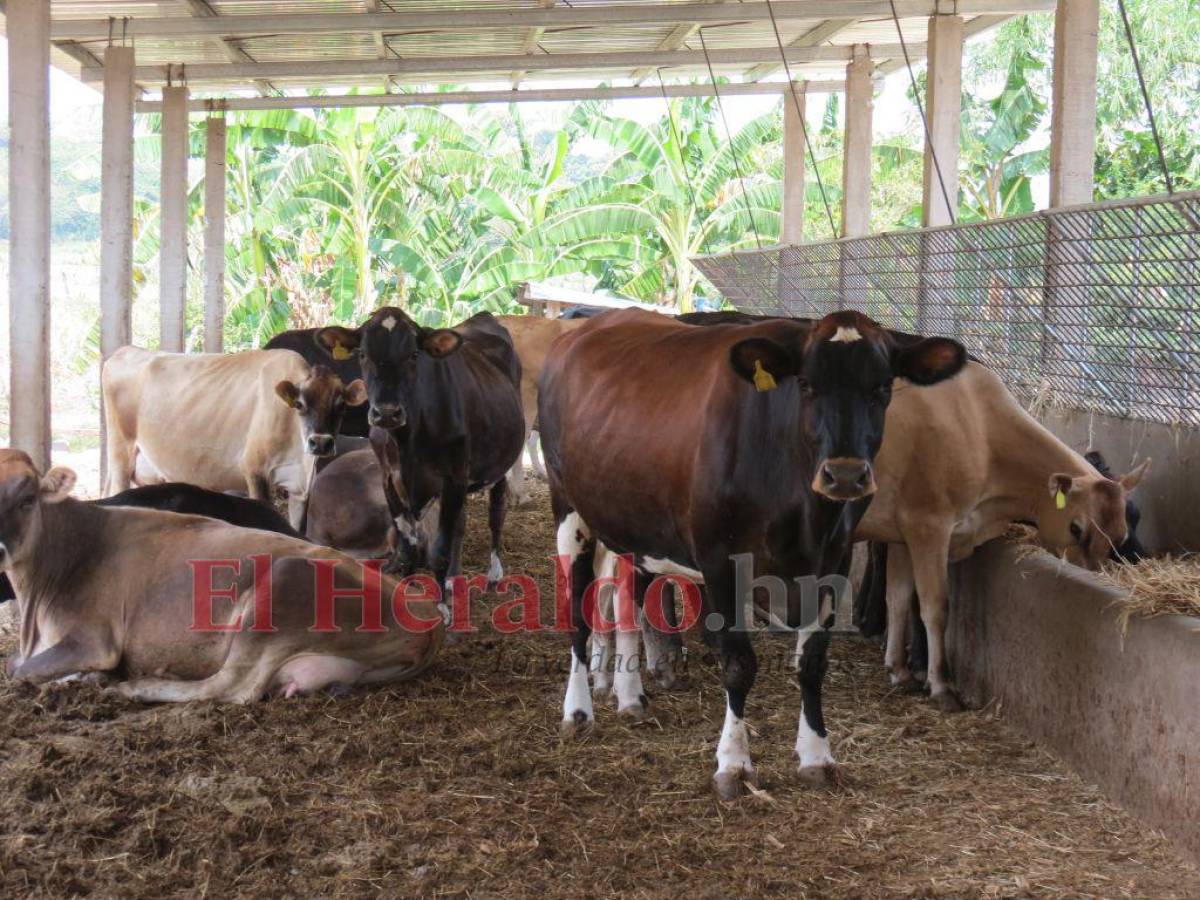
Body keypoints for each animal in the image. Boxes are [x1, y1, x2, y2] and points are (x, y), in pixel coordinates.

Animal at [0, 453, 441, 700]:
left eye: (27, 499)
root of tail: (425, 616)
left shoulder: (92, 639)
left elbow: (17, 671)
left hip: (278, 591)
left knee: (230, 688)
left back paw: (136, 687)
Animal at [101, 345, 364, 528]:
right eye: (299, 404)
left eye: (341, 405)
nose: (320, 442)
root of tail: (126, 351)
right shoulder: (255, 469)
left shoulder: (300, 487)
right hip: (121, 453)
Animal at [314, 309, 525, 592]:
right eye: (363, 354)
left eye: (414, 354)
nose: (387, 413)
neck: (408, 441)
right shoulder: (391, 479)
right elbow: (408, 545)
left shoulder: (454, 478)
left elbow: (441, 549)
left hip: (500, 463)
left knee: (497, 511)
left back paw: (493, 573)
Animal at [535, 309, 964, 796]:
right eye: (806, 384)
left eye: (883, 387)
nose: (845, 475)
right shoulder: (720, 561)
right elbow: (739, 663)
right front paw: (734, 764)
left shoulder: (834, 559)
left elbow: (812, 662)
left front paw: (817, 755)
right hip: (567, 507)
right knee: (577, 610)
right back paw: (578, 712)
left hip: (630, 521)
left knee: (627, 600)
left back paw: (630, 697)